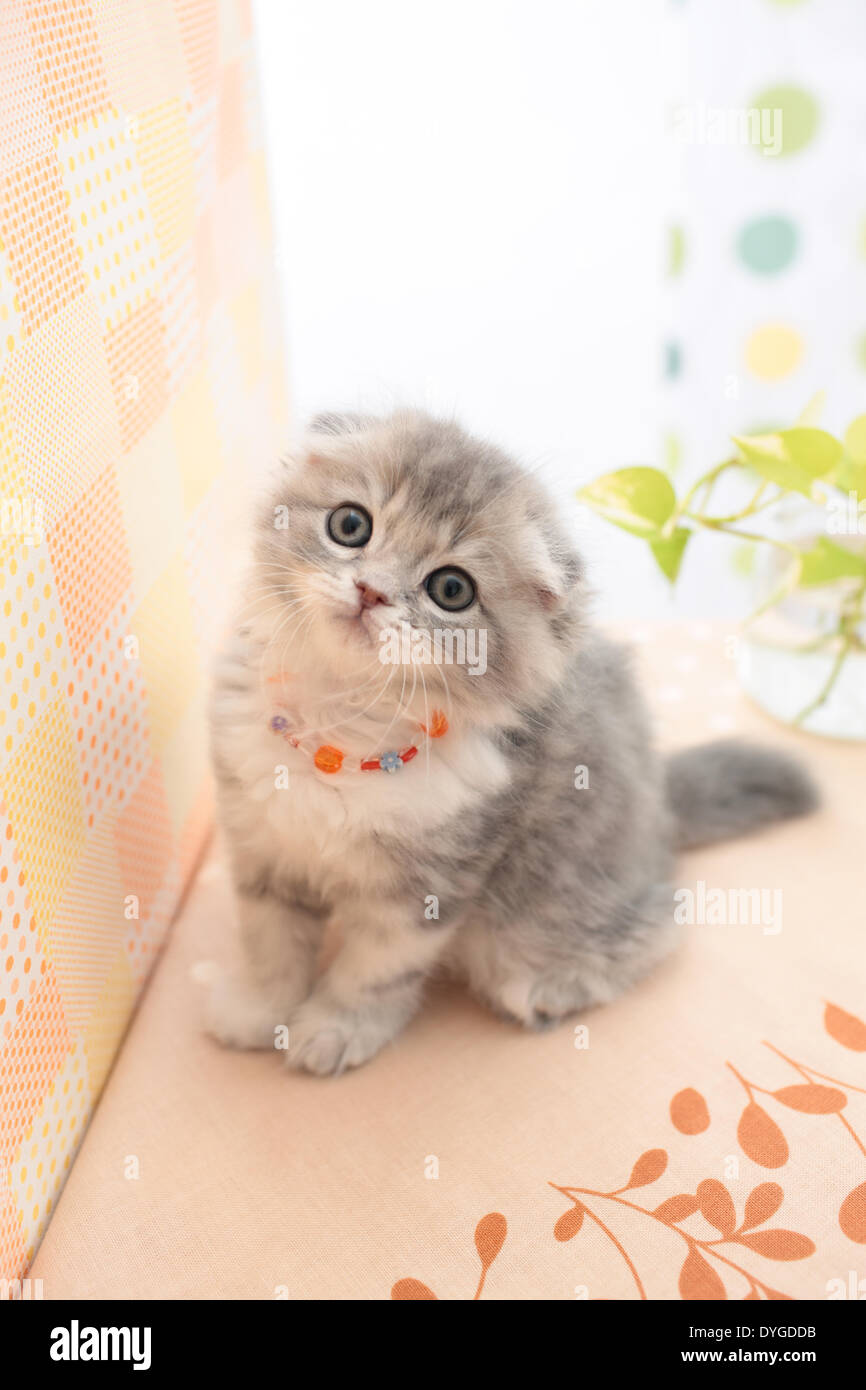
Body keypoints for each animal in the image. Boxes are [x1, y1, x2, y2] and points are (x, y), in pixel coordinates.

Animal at [202, 405, 817, 1078]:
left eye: (451, 590)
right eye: (350, 524)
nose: (371, 592)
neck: (345, 718)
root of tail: (662, 801)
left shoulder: (428, 887)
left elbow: (373, 971)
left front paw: (335, 1030)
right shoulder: (263, 848)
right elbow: (272, 947)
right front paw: (261, 1013)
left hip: (549, 920)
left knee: (656, 930)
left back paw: (549, 989)